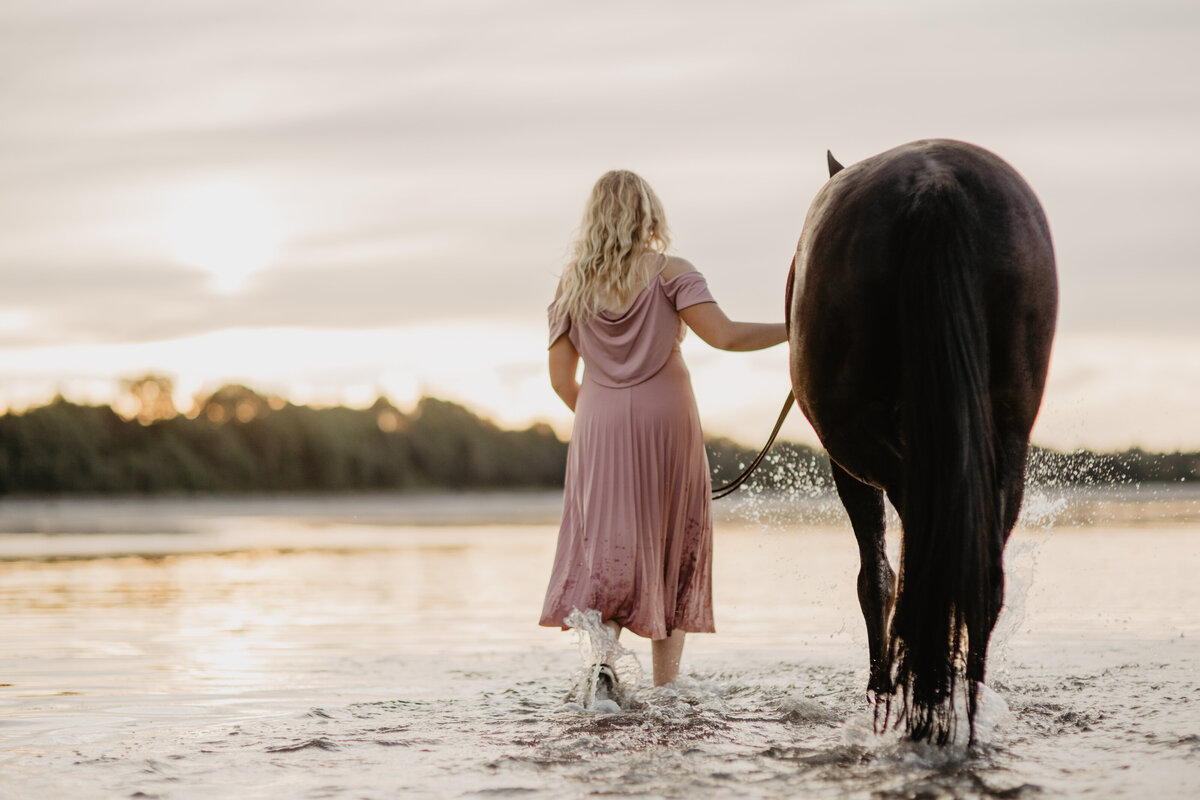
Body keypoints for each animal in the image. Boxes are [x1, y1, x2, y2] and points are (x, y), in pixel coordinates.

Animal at [787, 139, 1060, 743]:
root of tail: (938, 185)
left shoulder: (848, 468)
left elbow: (875, 576)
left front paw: (879, 683)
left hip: (869, 445)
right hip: (1006, 440)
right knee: (978, 574)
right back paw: (957, 700)